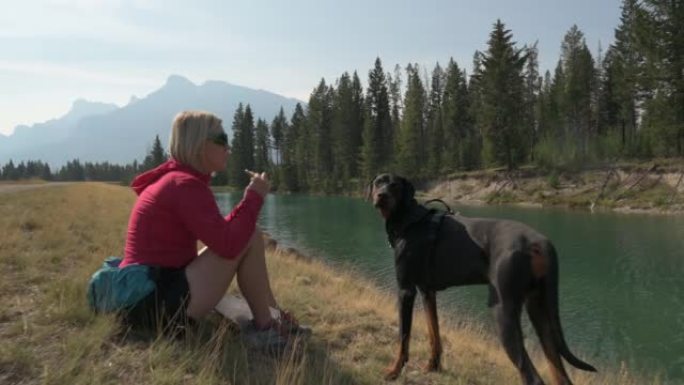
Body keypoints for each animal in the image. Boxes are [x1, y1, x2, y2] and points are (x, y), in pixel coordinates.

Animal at [368, 173, 592, 384]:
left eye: (394, 185)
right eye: (378, 182)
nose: (381, 195)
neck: (410, 219)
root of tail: (539, 242)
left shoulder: (405, 290)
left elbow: (403, 337)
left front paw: (394, 371)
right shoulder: (427, 291)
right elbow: (434, 334)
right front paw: (433, 366)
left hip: (503, 310)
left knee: (532, 377)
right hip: (539, 310)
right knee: (560, 374)